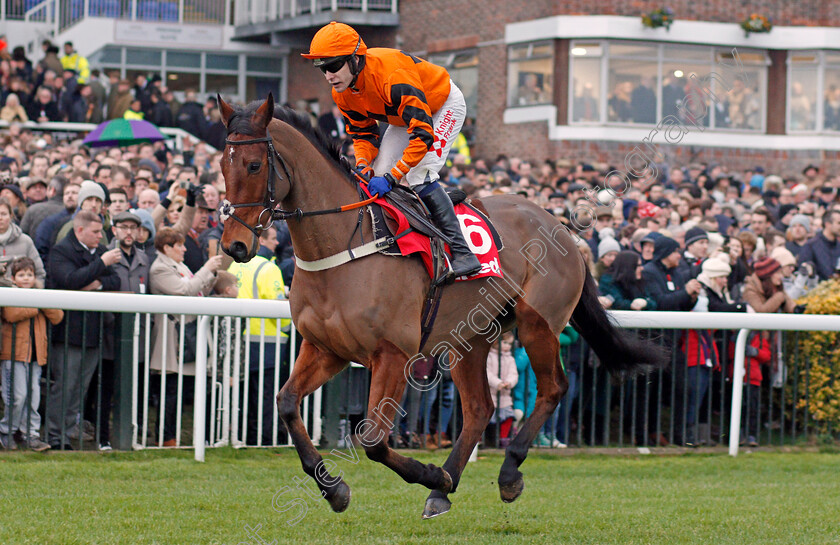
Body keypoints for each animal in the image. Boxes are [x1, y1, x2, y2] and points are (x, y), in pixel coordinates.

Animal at [218, 94, 668, 520]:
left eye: (254, 165)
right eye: (223, 167)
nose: (234, 246)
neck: (344, 245)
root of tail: (559, 226)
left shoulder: (393, 354)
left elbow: (373, 438)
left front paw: (428, 473)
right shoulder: (326, 349)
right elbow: (286, 403)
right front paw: (335, 489)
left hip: (537, 323)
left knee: (554, 387)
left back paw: (505, 473)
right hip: (471, 337)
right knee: (481, 408)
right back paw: (442, 490)